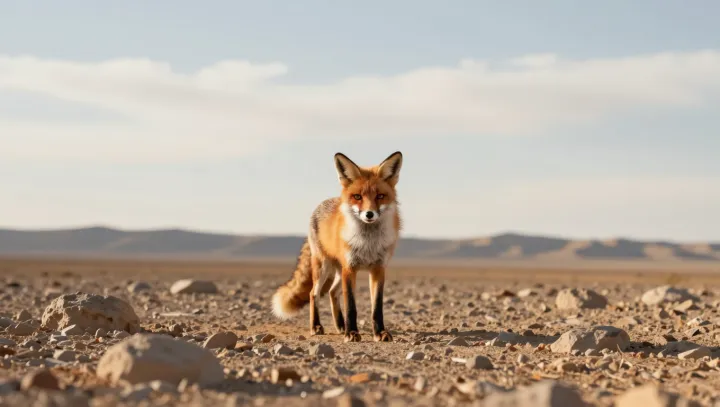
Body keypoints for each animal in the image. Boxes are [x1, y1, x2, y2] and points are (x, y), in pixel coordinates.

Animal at [271, 151, 403, 343]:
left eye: (380, 196)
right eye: (357, 197)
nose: (369, 214)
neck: (367, 243)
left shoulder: (378, 269)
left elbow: (376, 308)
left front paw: (380, 333)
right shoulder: (350, 268)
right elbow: (351, 306)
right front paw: (352, 333)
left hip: (339, 271)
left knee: (333, 292)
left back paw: (340, 325)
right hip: (323, 267)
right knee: (313, 293)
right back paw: (316, 326)